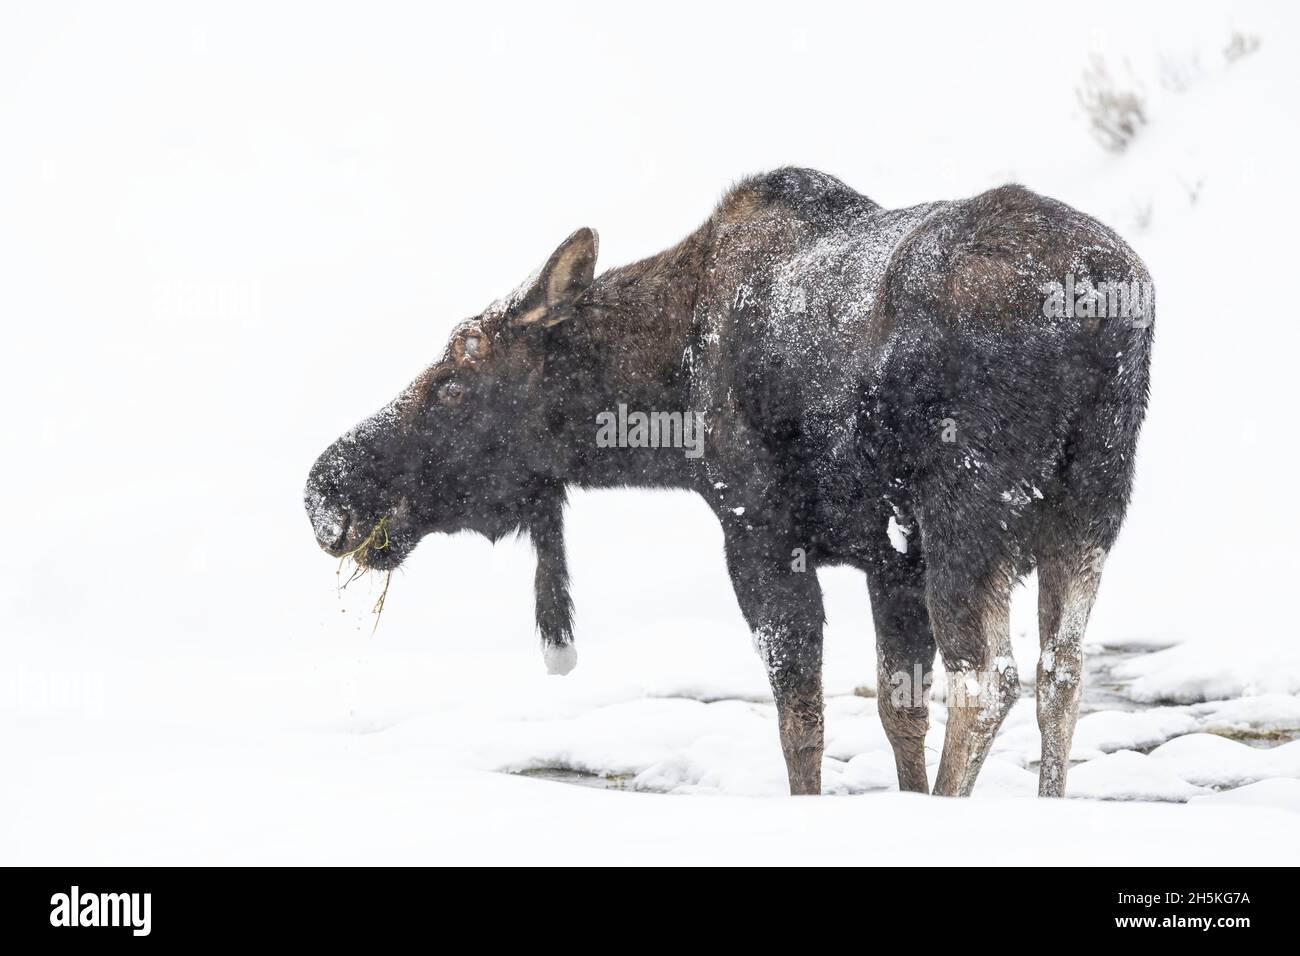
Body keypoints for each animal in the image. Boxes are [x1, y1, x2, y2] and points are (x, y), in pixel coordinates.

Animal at [306, 170, 1159, 801]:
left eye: (455, 381)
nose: (325, 488)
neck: (667, 396)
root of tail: (1103, 302)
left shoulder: (761, 533)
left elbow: (801, 721)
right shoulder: (889, 560)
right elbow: (898, 712)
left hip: (968, 512)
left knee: (988, 680)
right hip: (1089, 512)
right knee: (1061, 672)